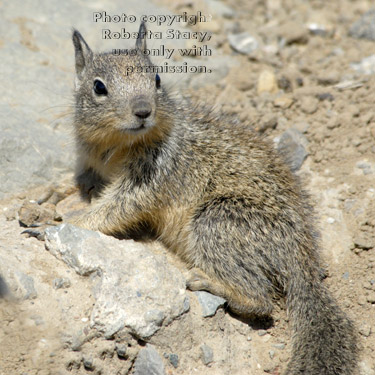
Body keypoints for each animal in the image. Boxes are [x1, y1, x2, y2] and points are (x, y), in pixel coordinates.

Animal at [70, 22, 358, 374]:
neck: (118, 144)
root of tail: (302, 260)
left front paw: (67, 221)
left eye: (157, 79)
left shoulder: (151, 175)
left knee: (260, 299)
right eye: (99, 87)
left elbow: (117, 208)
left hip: (216, 220)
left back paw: (211, 283)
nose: (143, 111)